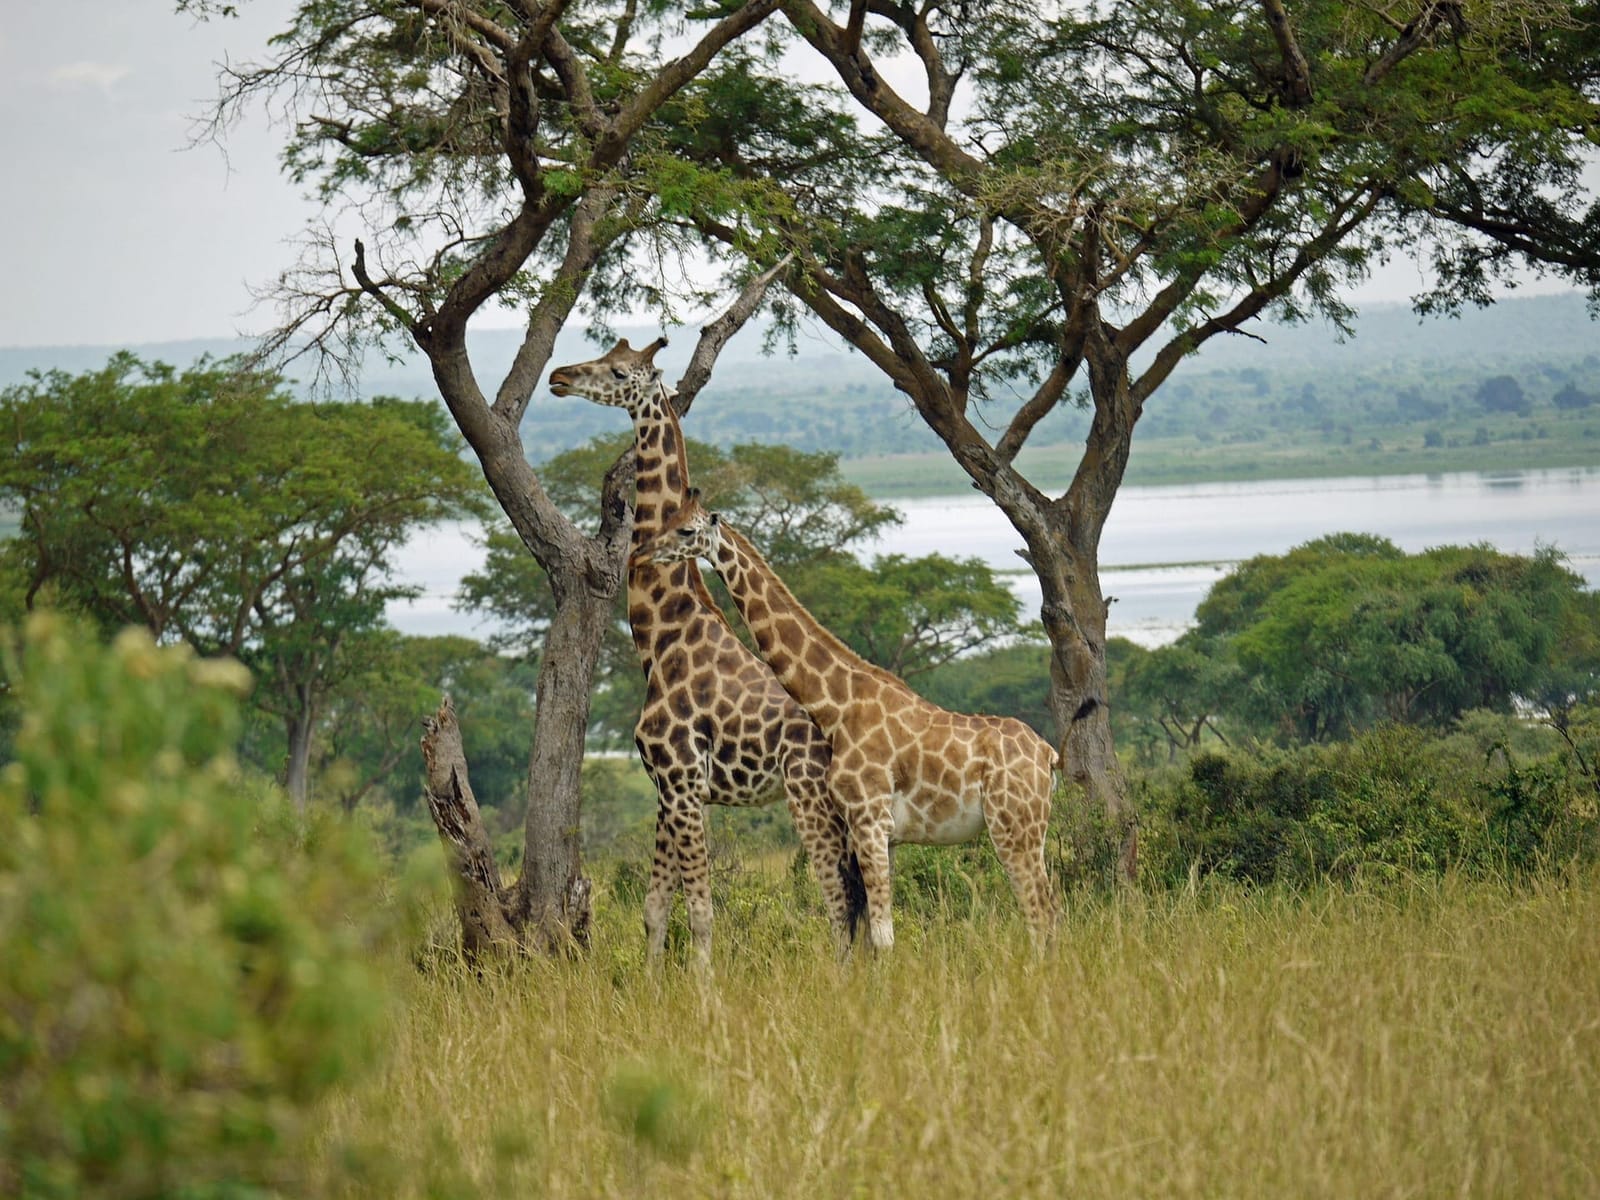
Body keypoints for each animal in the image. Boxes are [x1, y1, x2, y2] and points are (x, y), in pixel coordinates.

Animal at [548, 338, 863, 966]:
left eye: (618, 371)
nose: (559, 377)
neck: (664, 631)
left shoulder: (684, 780)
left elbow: (700, 910)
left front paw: (704, 988)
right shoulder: (668, 788)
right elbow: (654, 907)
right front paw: (653, 983)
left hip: (811, 798)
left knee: (840, 899)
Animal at [639, 494, 1061, 951]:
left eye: (686, 530)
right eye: (668, 518)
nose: (644, 552)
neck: (837, 706)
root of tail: (1048, 754)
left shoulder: (869, 818)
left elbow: (881, 934)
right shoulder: (879, 831)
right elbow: (870, 932)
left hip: (1013, 827)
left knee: (1041, 912)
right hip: (1028, 829)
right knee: (1048, 907)